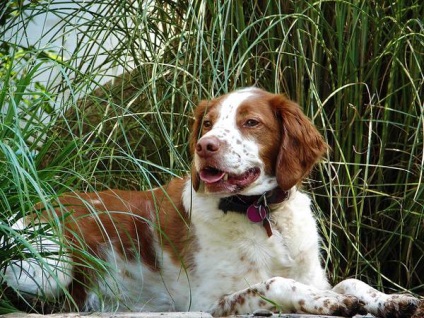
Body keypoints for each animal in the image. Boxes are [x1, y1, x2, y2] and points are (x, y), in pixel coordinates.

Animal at [2, 88, 420, 316]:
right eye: (207, 123)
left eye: (251, 122)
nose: (206, 146)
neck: (262, 213)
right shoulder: (208, 301)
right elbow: (275, 283)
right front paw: (326, 303)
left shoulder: (315, 274)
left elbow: (351, 281)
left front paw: (392, 299)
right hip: (53, 266)